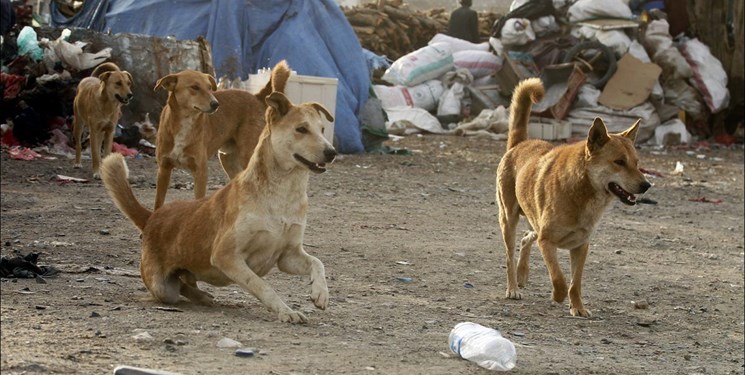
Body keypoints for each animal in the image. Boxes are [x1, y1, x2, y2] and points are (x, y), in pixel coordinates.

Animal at [101, 91, 338, 324]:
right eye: (301, 129)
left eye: (322, 129)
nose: (332, 152)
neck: (283, 195)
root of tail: (152, 217)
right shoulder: (226, 255)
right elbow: (262, 286)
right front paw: (286, 311)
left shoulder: (287, 256)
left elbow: (317, 262)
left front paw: (320, 293)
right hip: (162, 288)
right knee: (177, 288)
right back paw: (201, 296)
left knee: (184, 283)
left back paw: (202, 296)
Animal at [153, 60, 290, 210]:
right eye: (195, 87)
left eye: (209, 87)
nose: (215, 104)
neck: (185, 122)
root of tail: (256, 96)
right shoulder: (163, 169)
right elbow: (158, 203)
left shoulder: (200, 171)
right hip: (227, 160)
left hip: (247, 155)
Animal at [494, 78, 652, 318]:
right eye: (619, 162)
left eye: (636, 162)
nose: (646, 185)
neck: (583, 191)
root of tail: (519, 144)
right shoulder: (547, 242)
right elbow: (559, 278)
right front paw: (558, 296)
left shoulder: (580, 247)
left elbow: (575, 283)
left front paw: (578, 307)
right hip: (508, 220)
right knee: (509, 255)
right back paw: (513, 287)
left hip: (533, 221)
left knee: (526, 237)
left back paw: (522, 275)